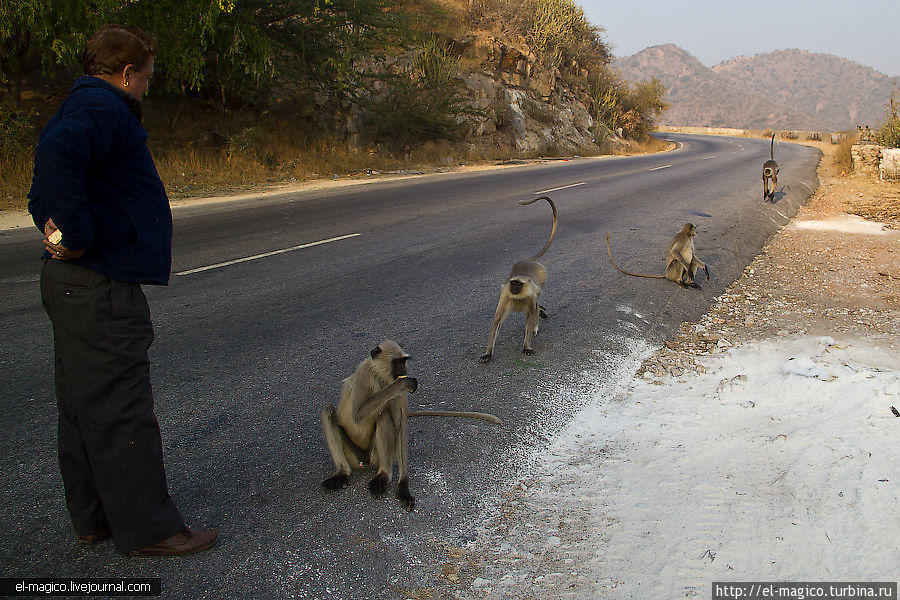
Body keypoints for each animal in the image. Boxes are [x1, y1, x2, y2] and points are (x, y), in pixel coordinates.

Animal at [322, 342, 500, 510]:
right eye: (397, 362)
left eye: (403, 361)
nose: (404, 369)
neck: (379, 376)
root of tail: (364, 461)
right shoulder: (363, 373)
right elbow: (358, 415)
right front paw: (403, 383)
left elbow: (400, 424)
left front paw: (404, 488)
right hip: (352, 454)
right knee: (328, 409)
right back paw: (342, 473)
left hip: (374, 455)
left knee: (384, 416)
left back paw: (383, 475)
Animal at [478, 197, 556, 364]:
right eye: (513, 283)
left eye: (519, 284)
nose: (514, 288)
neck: (518, 296)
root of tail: (526, 262)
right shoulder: (505, 294)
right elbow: (497, 320)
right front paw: (488, 353)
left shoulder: (530, 294)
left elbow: (531, 316)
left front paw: (527, 346)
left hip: (542, 278)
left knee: (535, 306)